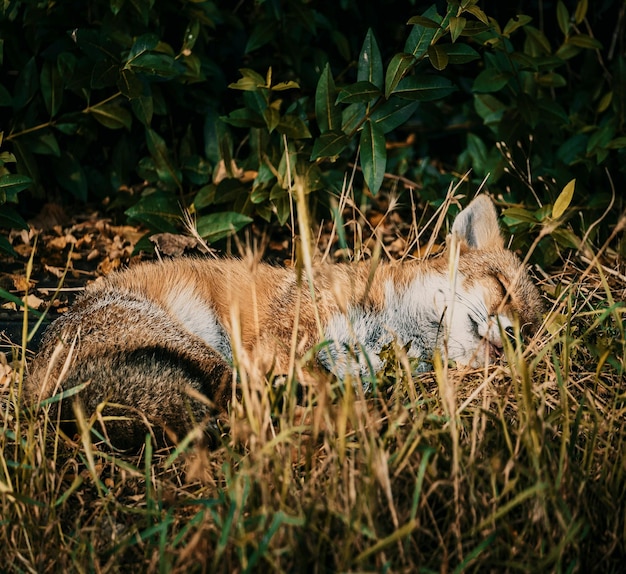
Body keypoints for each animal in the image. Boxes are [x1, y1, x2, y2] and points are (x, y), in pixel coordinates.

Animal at [25, 196, 540, 448]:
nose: (515, 336)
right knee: (234, 404)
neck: (388, 329)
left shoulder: (353, 367)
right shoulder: (287, 336)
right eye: (502, 287)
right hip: (208, 356)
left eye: (532, 328)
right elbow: (324, 386)